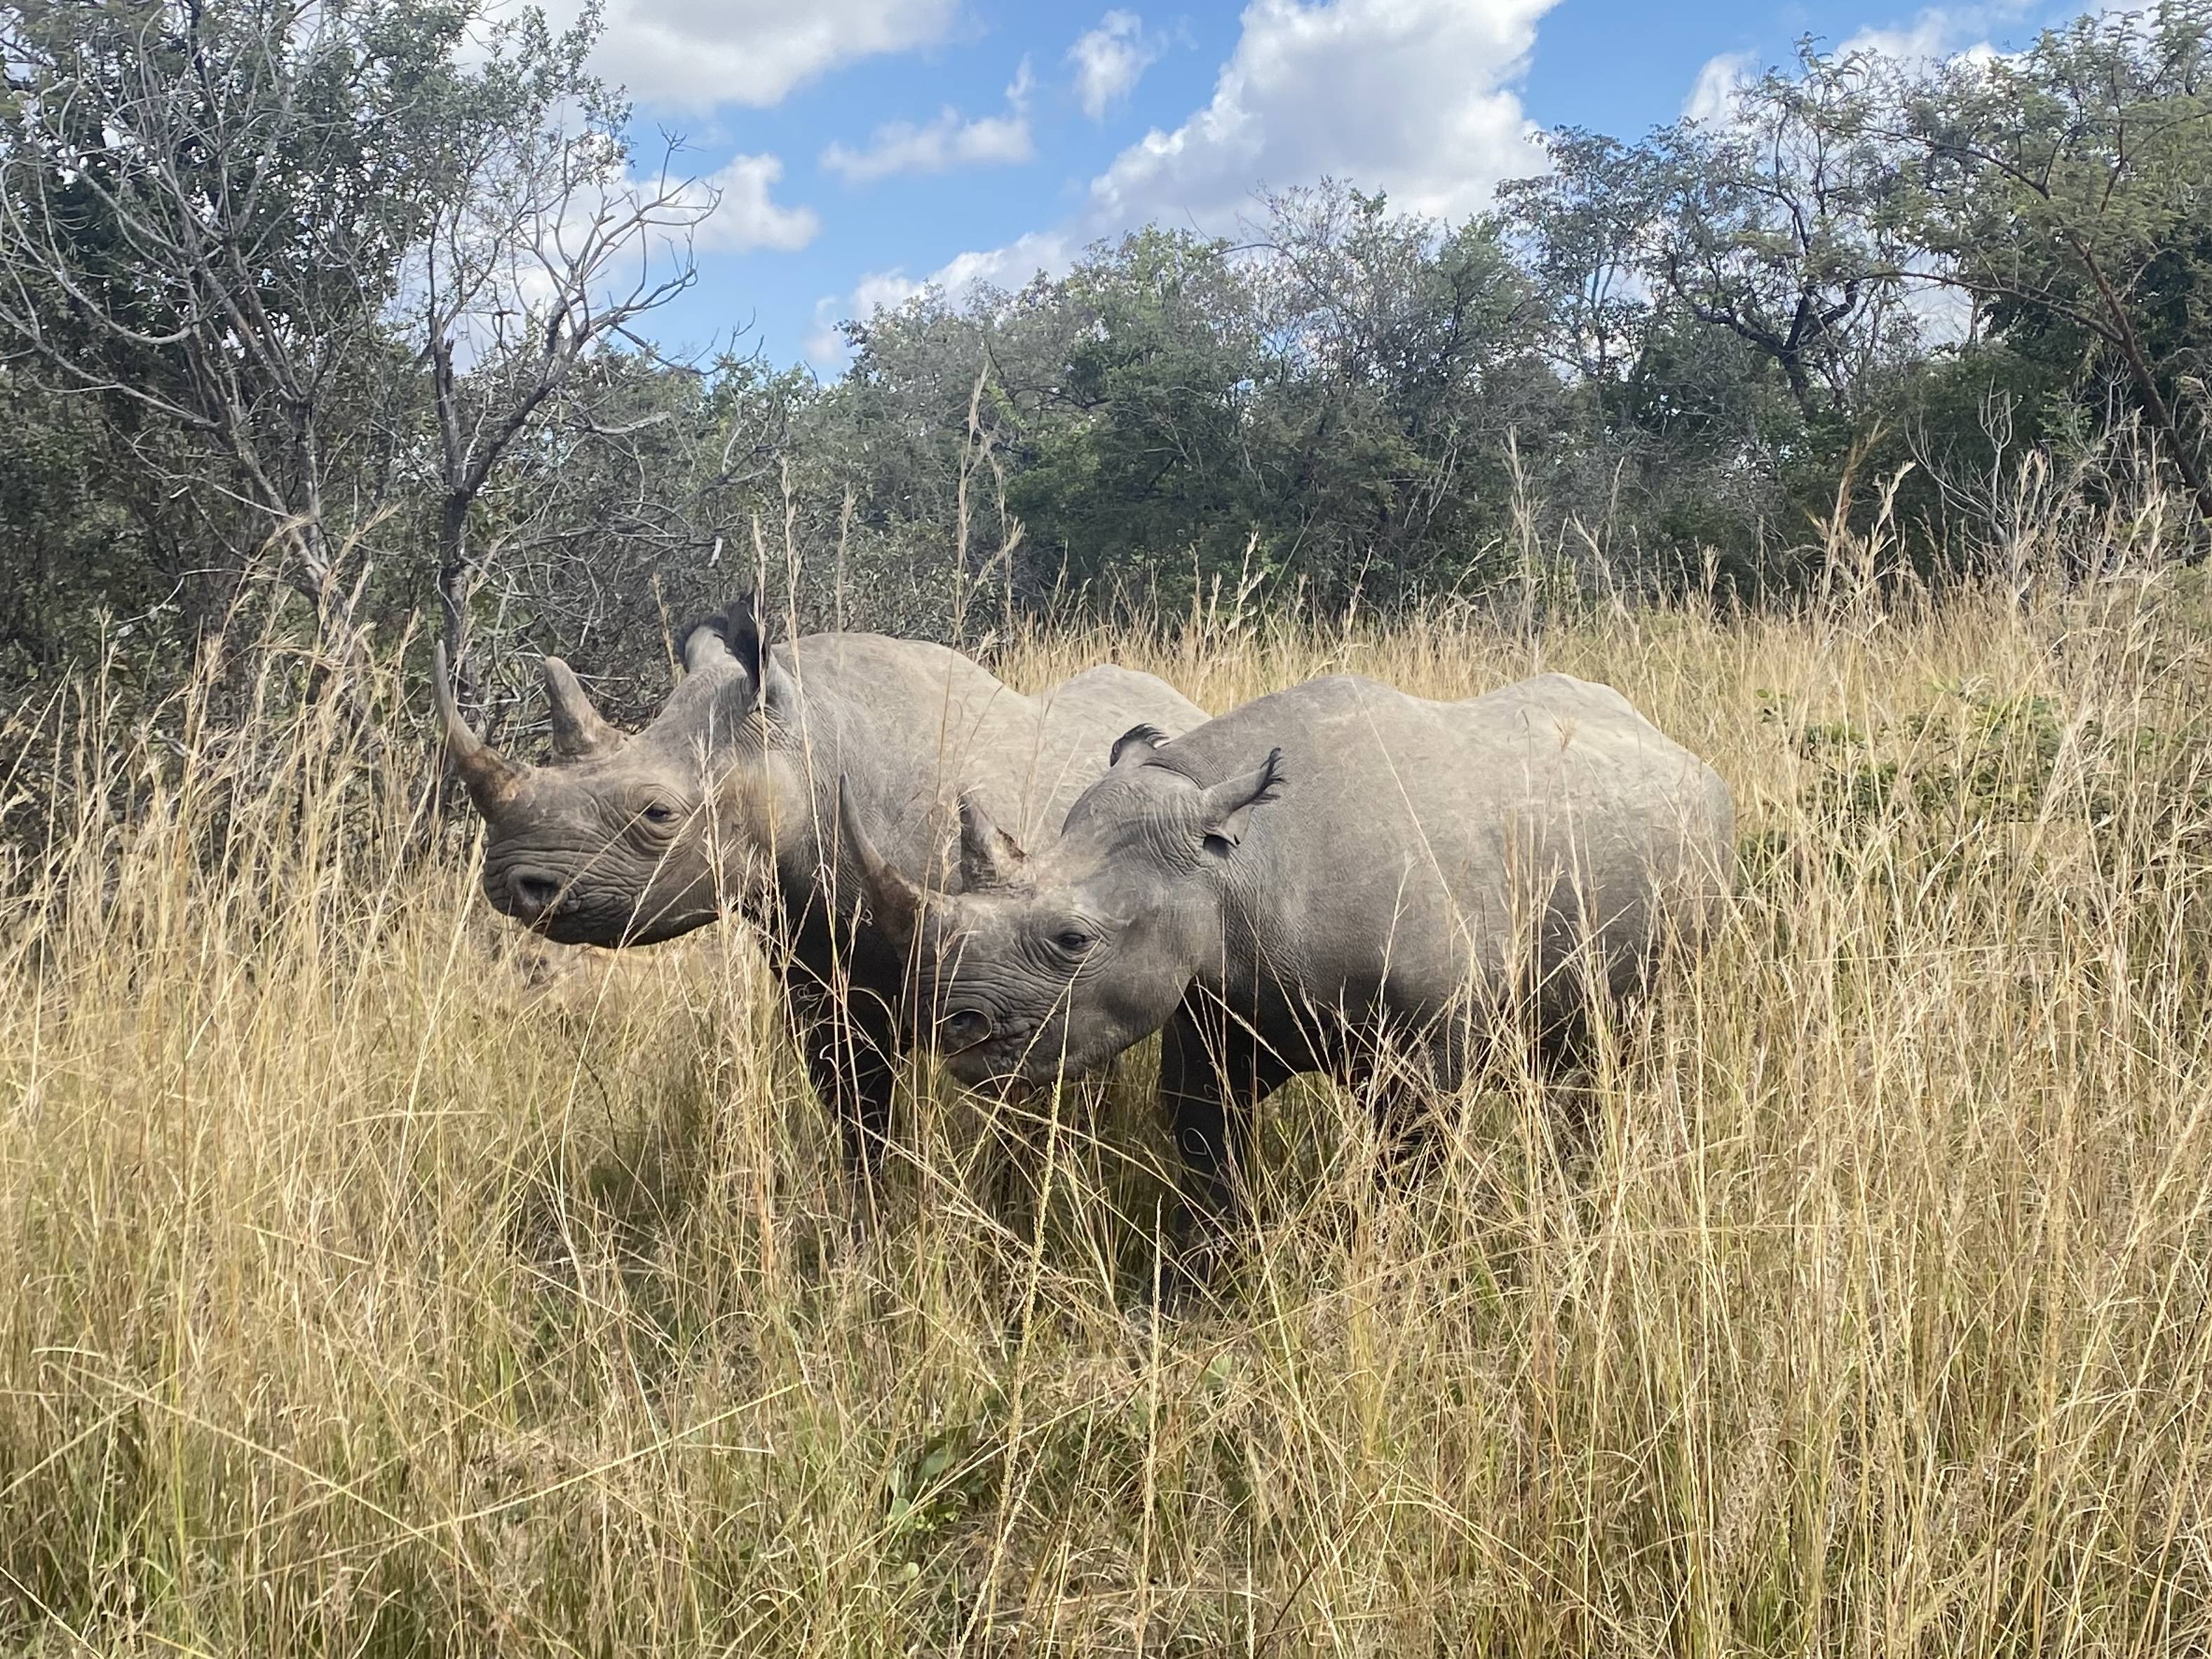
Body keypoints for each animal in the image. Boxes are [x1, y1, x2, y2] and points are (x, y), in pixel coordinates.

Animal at [426, 592, 1194, 1177]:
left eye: (658, 813)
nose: (512, 883)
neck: (808, 748)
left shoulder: (1020, 981)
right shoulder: (819, 964)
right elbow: (859, 1112)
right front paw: (870, 1223)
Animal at [845, 677, 1725, 1238]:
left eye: (1073, 940)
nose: (952, 1024)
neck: (1234, 861)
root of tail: (1675, 747)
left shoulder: (1425, 1050)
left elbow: (1401, 1161)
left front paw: (1387, 1262)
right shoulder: (1216, 1005)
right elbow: (1207, 1150)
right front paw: (1203, 1289)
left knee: (1620, 1048)